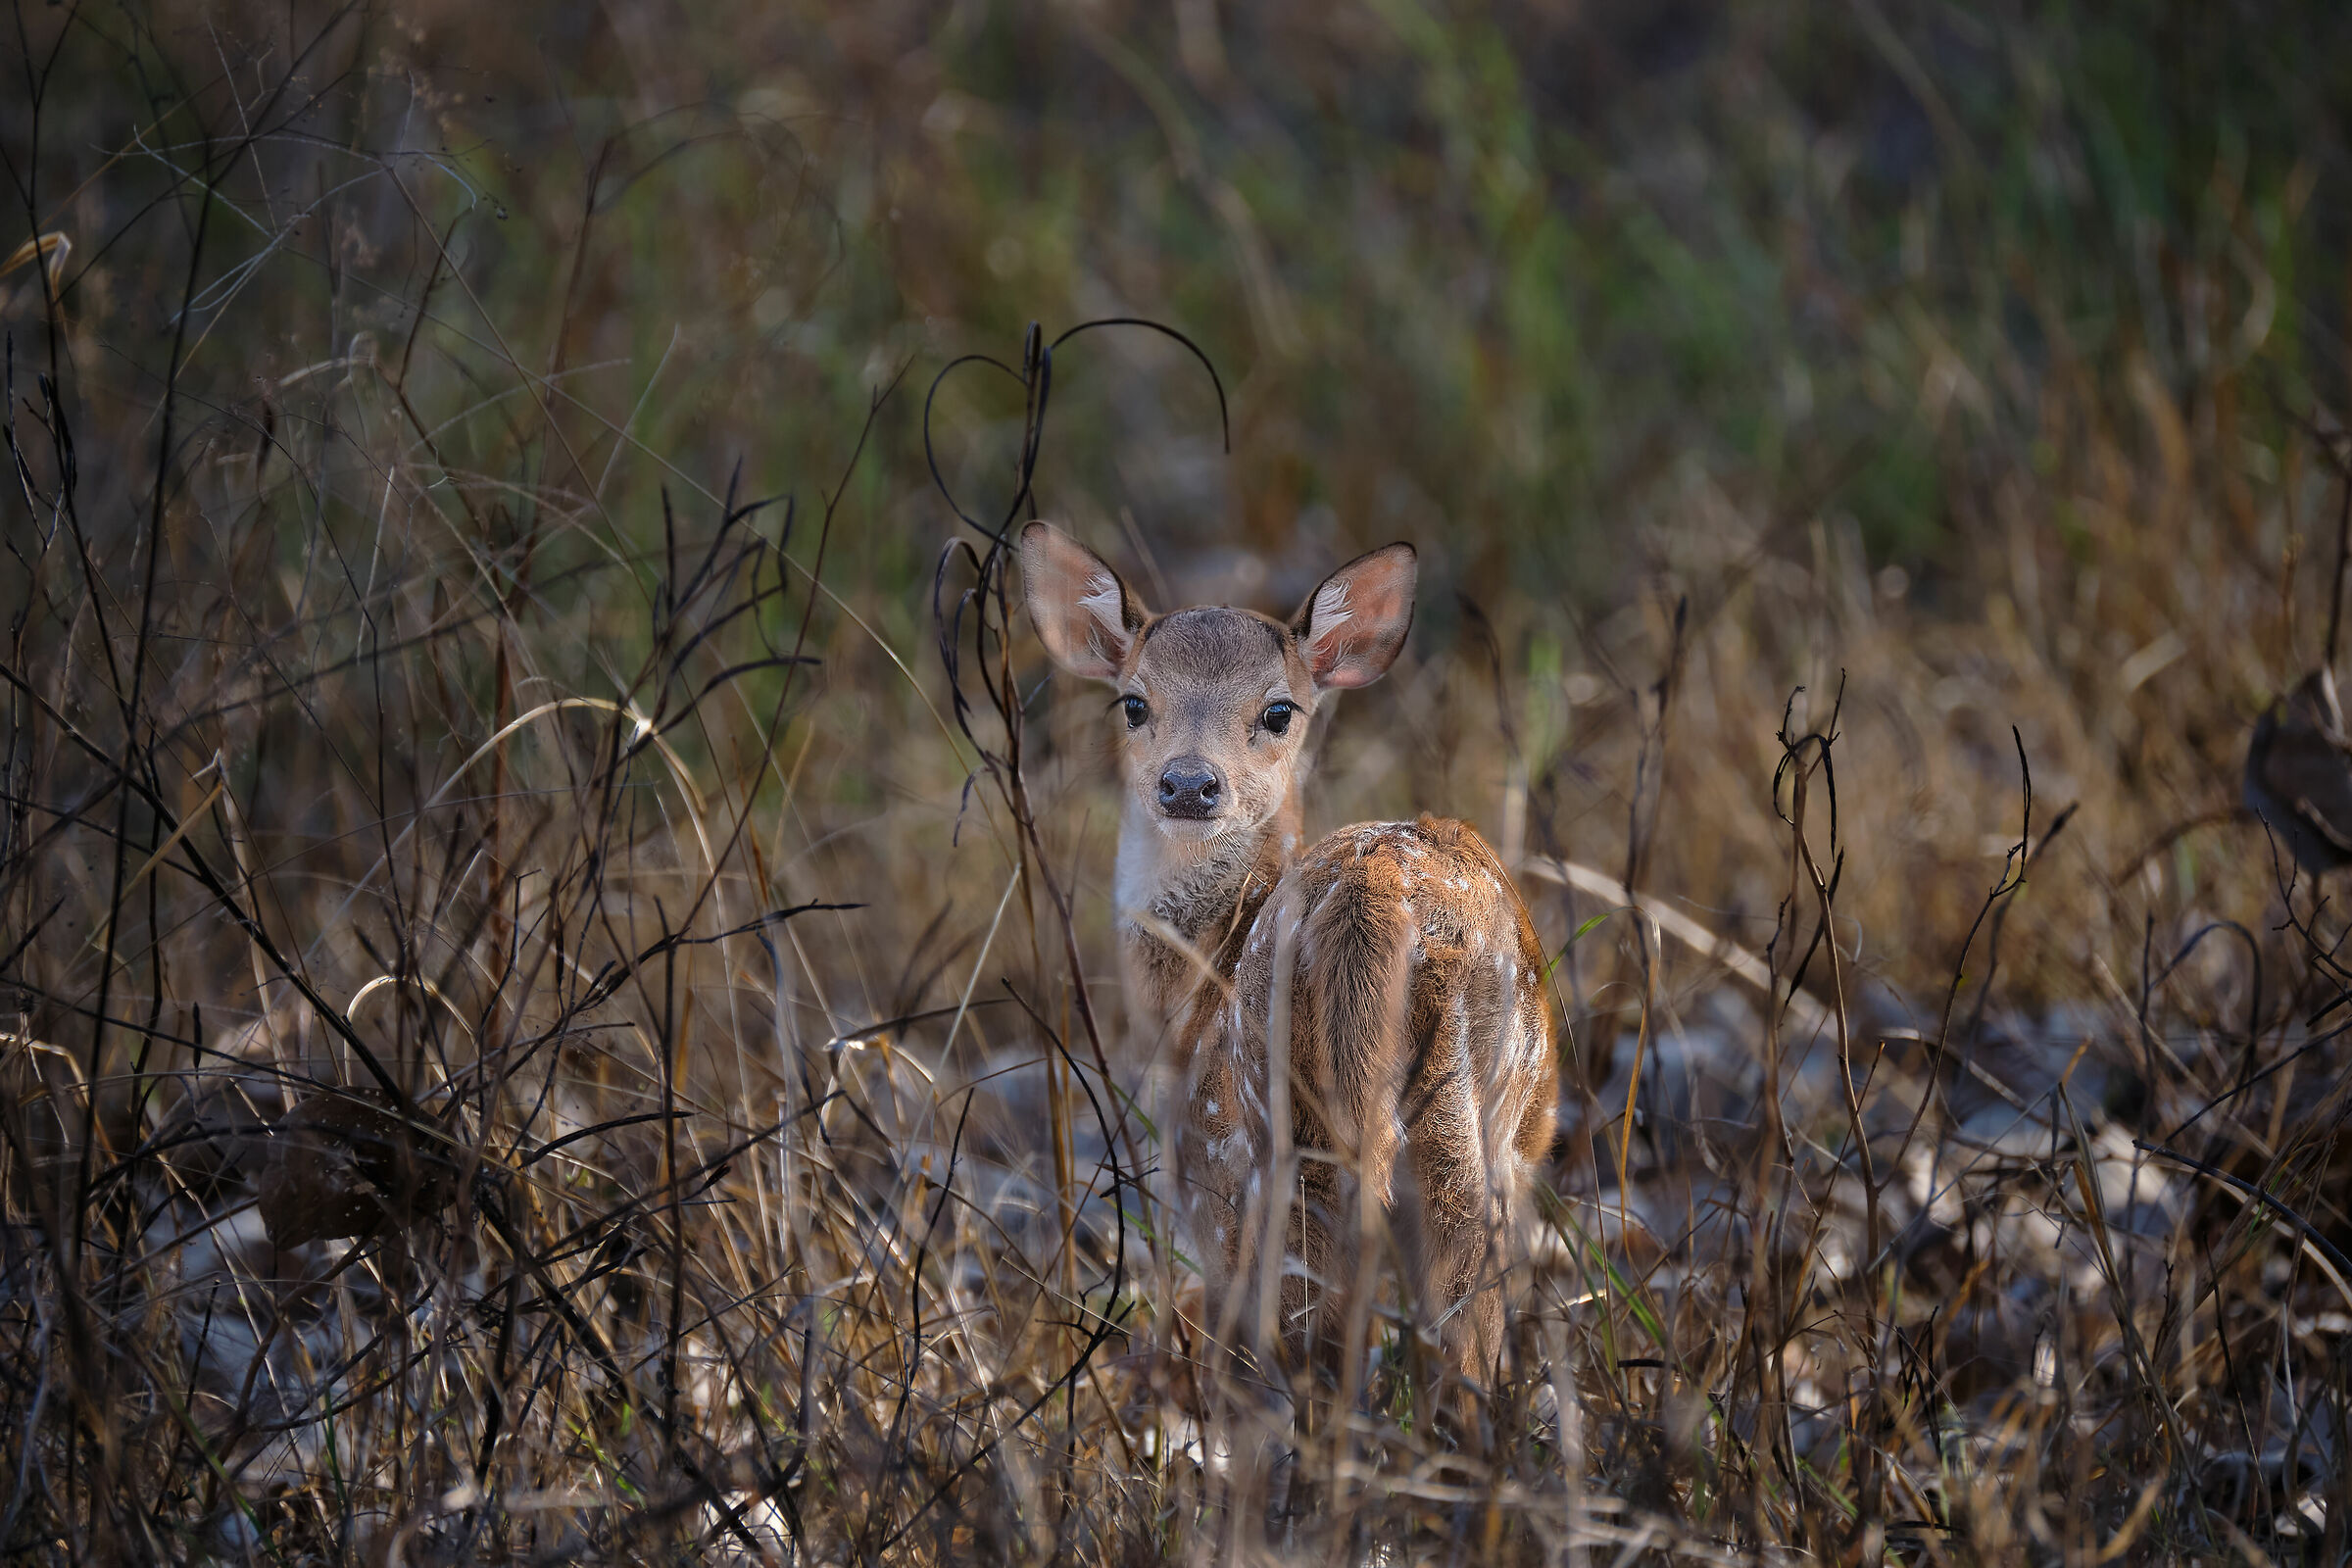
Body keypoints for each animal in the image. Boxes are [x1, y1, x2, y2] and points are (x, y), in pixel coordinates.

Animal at [1019, 522, 1558, 1491]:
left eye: (1279, 712)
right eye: (1133, 703)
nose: (1189, 785)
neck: (1193, 995)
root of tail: (1379, 904)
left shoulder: (1210, 1185)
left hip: (1291, 1147)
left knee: (1316, 1367)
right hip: (1477, 1136)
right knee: (1461, 1349)